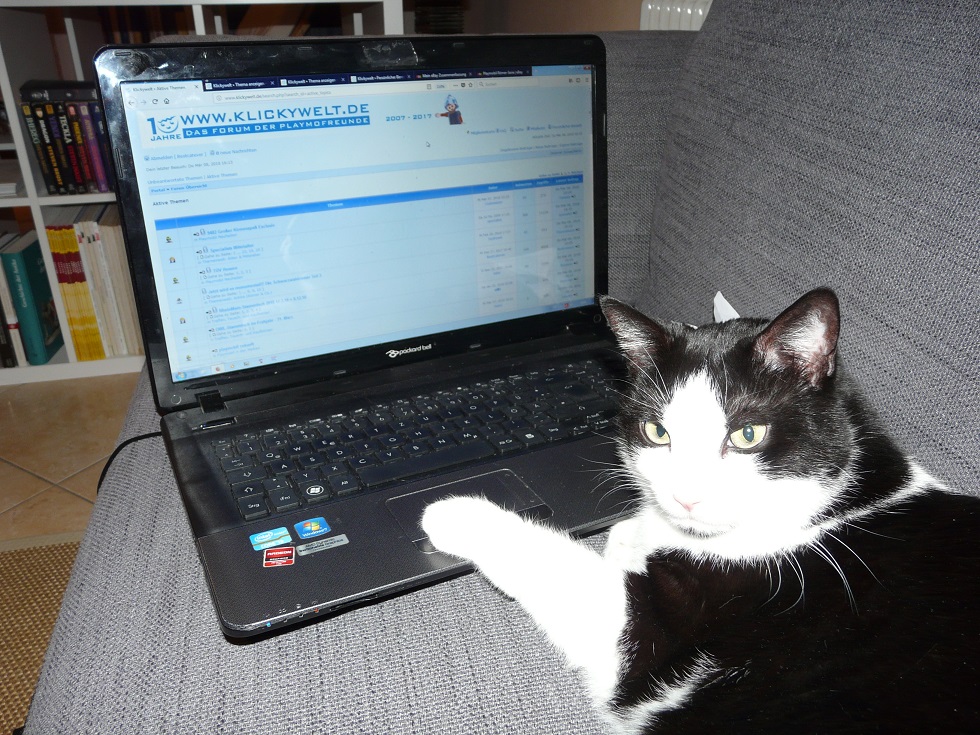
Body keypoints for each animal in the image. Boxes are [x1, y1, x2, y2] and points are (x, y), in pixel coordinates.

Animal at [421, 288, 980, 734]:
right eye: (656, 432)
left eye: (747, 434)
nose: (684, 497)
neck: (832, 509)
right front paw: (633, 535)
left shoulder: (658, 635)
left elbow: (565, 568)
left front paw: (451, 512)